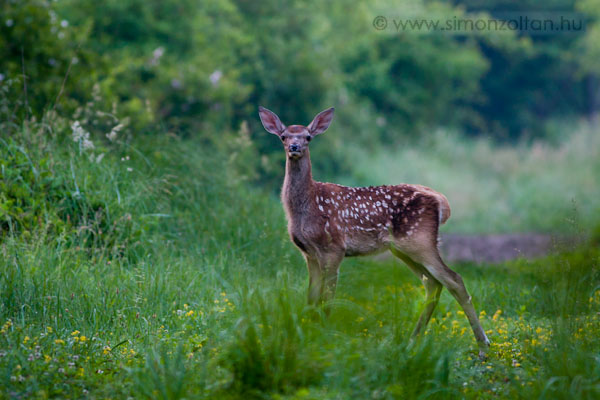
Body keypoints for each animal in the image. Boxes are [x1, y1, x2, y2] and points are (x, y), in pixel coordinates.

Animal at [258, 106, 492, 356]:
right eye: (284, 136)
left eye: (308, 137)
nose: (294, 147)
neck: (307, 206)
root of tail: (441, 201)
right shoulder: (309, 253)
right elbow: (311, 297)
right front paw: (308, 334)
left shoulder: (334, 247)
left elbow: (327, 297)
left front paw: (322, 336)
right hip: (403, 248)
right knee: (432, 282)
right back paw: (412, 340)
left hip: (419, 240)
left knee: (453, 279)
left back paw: (482, 347)